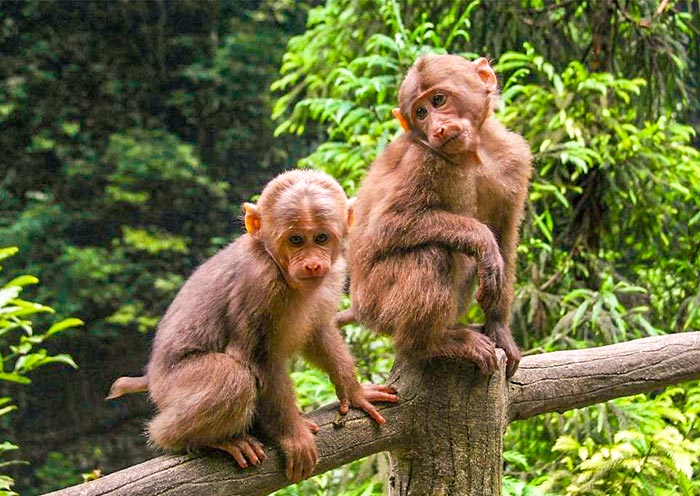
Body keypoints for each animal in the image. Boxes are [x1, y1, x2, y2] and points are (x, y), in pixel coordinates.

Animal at [108, 170, 398, 483]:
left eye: (321, 238)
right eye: (296, 240)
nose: (312, 264)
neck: (275, 264)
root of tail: (152, 378)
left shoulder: (335, 272)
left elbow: (319, 333)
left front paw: (355, 392)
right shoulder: (258, 285)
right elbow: (257, 358)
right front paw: (292, 435)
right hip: (171, 387)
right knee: (232, 377)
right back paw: (205, 439)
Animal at [346, 55, 532, 378]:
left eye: (438, 100)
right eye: (420, 113)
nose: (438, 128)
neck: (475, 154)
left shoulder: (515, 158)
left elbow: (505, 236)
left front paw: (498, 327)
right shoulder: (422, 160)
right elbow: (385, 225)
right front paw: (482, 241)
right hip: (376, 303)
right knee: (432, 253)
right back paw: (428, 345)